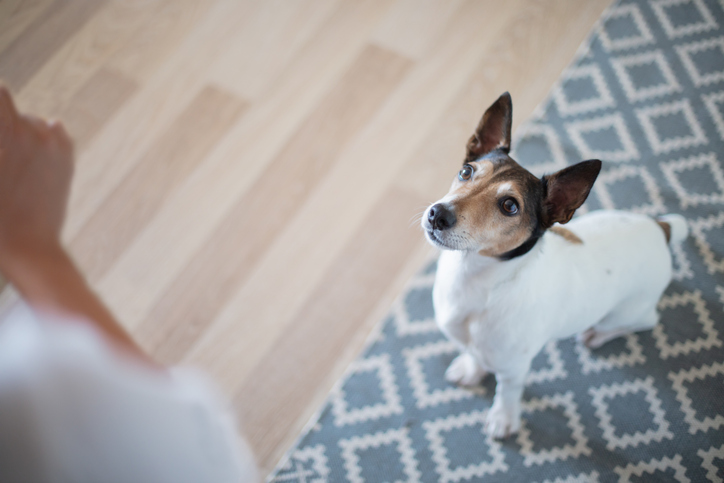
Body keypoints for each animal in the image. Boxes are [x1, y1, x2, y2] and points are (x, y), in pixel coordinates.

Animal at [421, 92, 688, 439]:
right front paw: (470, 369)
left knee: (643, 321)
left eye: (510, 206)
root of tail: (660, 229)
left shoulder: (514, 367)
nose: (437, 214)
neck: (476, 280)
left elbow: (507, 391)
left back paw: (596, 336)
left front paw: (503, 419)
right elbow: (473, 353)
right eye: (466, 171)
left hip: (626, 312)